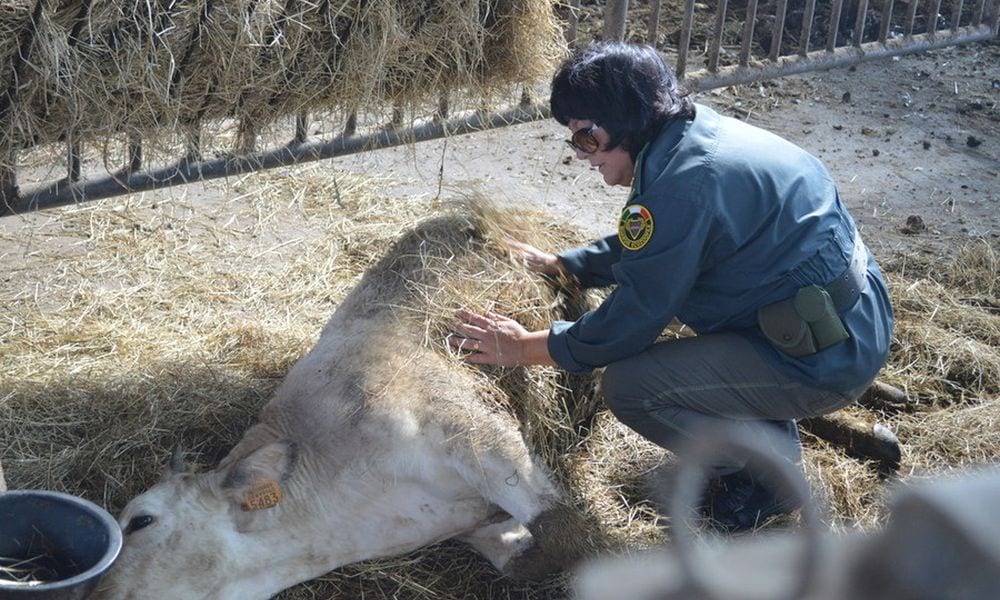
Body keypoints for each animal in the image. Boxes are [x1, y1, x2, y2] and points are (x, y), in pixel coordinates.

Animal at [95, 203, 600, 600]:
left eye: (140, 520)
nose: (89, 592)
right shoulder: (468, 521)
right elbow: (516, 557)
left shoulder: (471, 430)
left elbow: (565, 533)